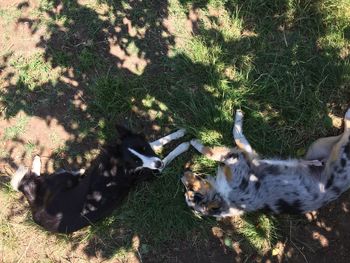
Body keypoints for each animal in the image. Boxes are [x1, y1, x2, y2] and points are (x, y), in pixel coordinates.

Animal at [12, 127, 190, 234]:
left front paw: (179, 133)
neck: (120, 163)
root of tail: (36, 213)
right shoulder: (153, 173)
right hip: (63, 180)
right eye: (136, 161)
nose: (157, 163)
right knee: (27, 181)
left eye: (143, 148)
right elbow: (169, 154)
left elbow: (158, 141)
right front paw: (184, 145)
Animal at [182, 108, 350, 218]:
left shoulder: (246, 156)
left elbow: (234, 137)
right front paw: (195, 143)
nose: (182, 174)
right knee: (347, 132)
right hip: (337, 151)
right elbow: (214, 152)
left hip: (317, 145)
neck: (223, 196)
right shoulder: (240, 157)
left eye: (191, 189)